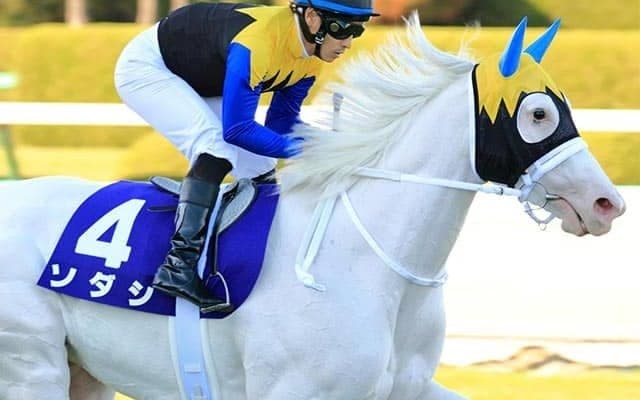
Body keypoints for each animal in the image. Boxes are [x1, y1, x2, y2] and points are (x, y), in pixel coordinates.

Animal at [0, 14, 626, 400]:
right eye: (539, 114)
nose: (608, 203)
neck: (371, 266)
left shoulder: (409, 387)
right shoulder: (294, 389)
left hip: (82, 370)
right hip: (33, 364)